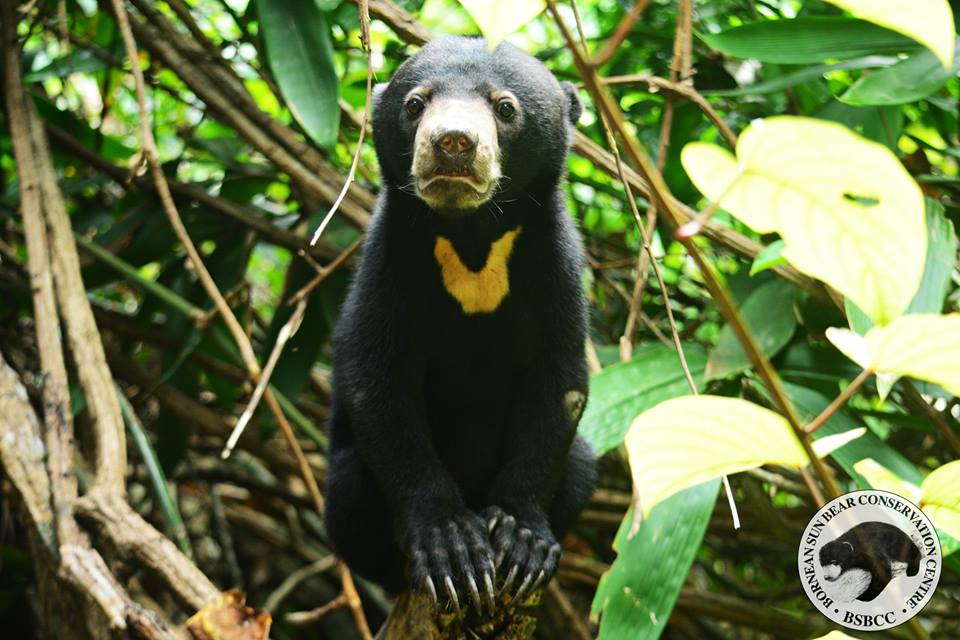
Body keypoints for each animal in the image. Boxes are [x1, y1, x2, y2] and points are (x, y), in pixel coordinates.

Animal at [323, 35, 597, 616]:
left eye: (505, 108)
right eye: (415, 104)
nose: (453, 143)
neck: (473, 238)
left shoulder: (555, 266)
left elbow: (558, 385)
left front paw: (521, 541)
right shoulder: (390, 260)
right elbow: (378, 384)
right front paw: (452, 548)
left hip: (581, 467)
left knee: (583, 463)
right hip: (349, 488)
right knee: (351, 491)